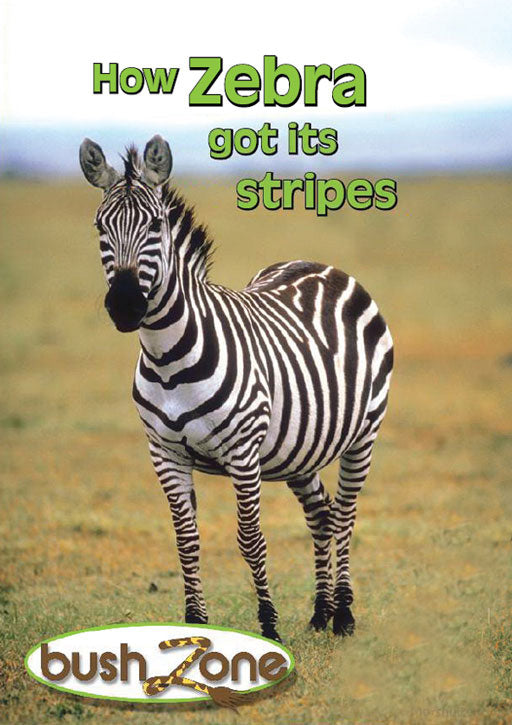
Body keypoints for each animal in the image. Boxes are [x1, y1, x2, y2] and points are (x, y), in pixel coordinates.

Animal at [79, 135, 393, 642]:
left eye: (156, 225)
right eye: (99, 227)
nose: (126, 306)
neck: (168, 361)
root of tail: (321, 265)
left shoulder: (243, 454)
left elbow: (250, 539)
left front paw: (268, 624)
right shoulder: (164, 453)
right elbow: (186, 540)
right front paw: (195, 623)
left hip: (363, 434)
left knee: (345, 514)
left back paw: (344, 613)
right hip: (297, 448)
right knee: (321, 513)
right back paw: (320, 611)